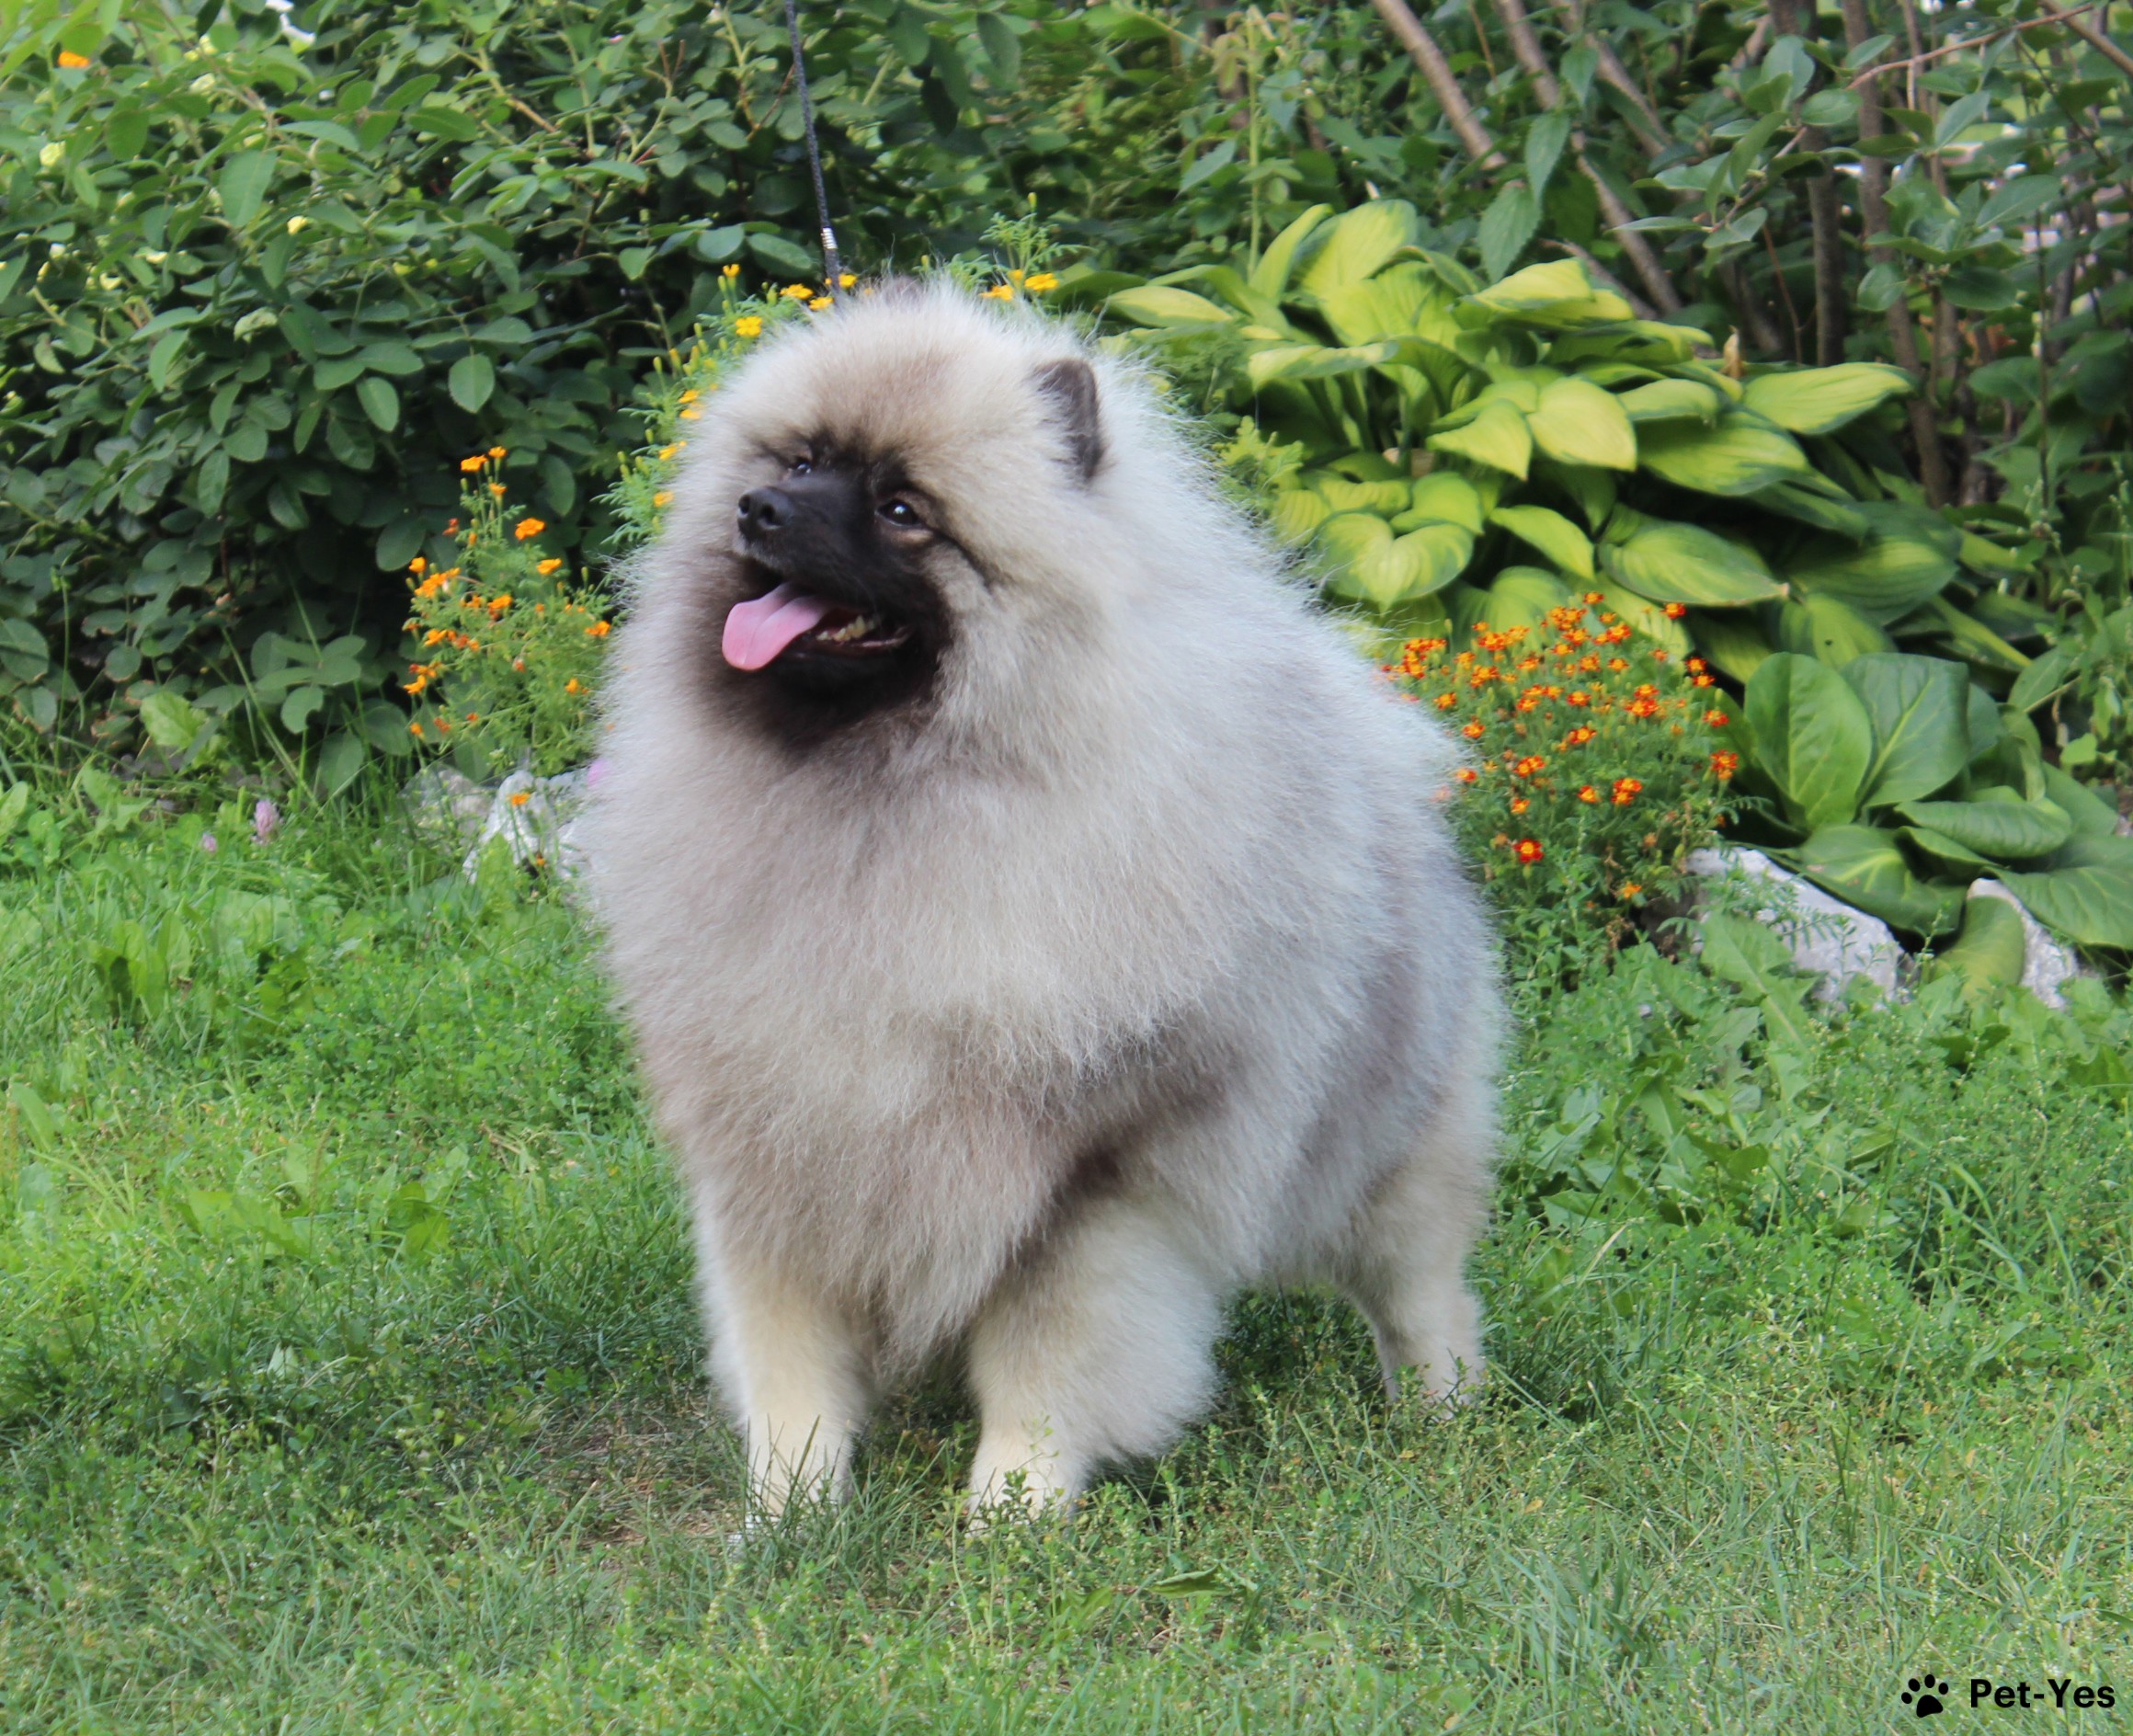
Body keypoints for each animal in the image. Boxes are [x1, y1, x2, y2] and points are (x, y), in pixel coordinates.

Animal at [584, 285, 1501, 1518]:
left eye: (902, 509)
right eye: (803, 461)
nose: (760, 508)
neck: (883, 806)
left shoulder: (1088, 1185)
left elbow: (1047, 1360)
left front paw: (1009, 1510)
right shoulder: (781, 1151)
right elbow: (788, 1363)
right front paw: (790, 1509)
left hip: (1387, 1150)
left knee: (1420, 1290)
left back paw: (1443, 1411)